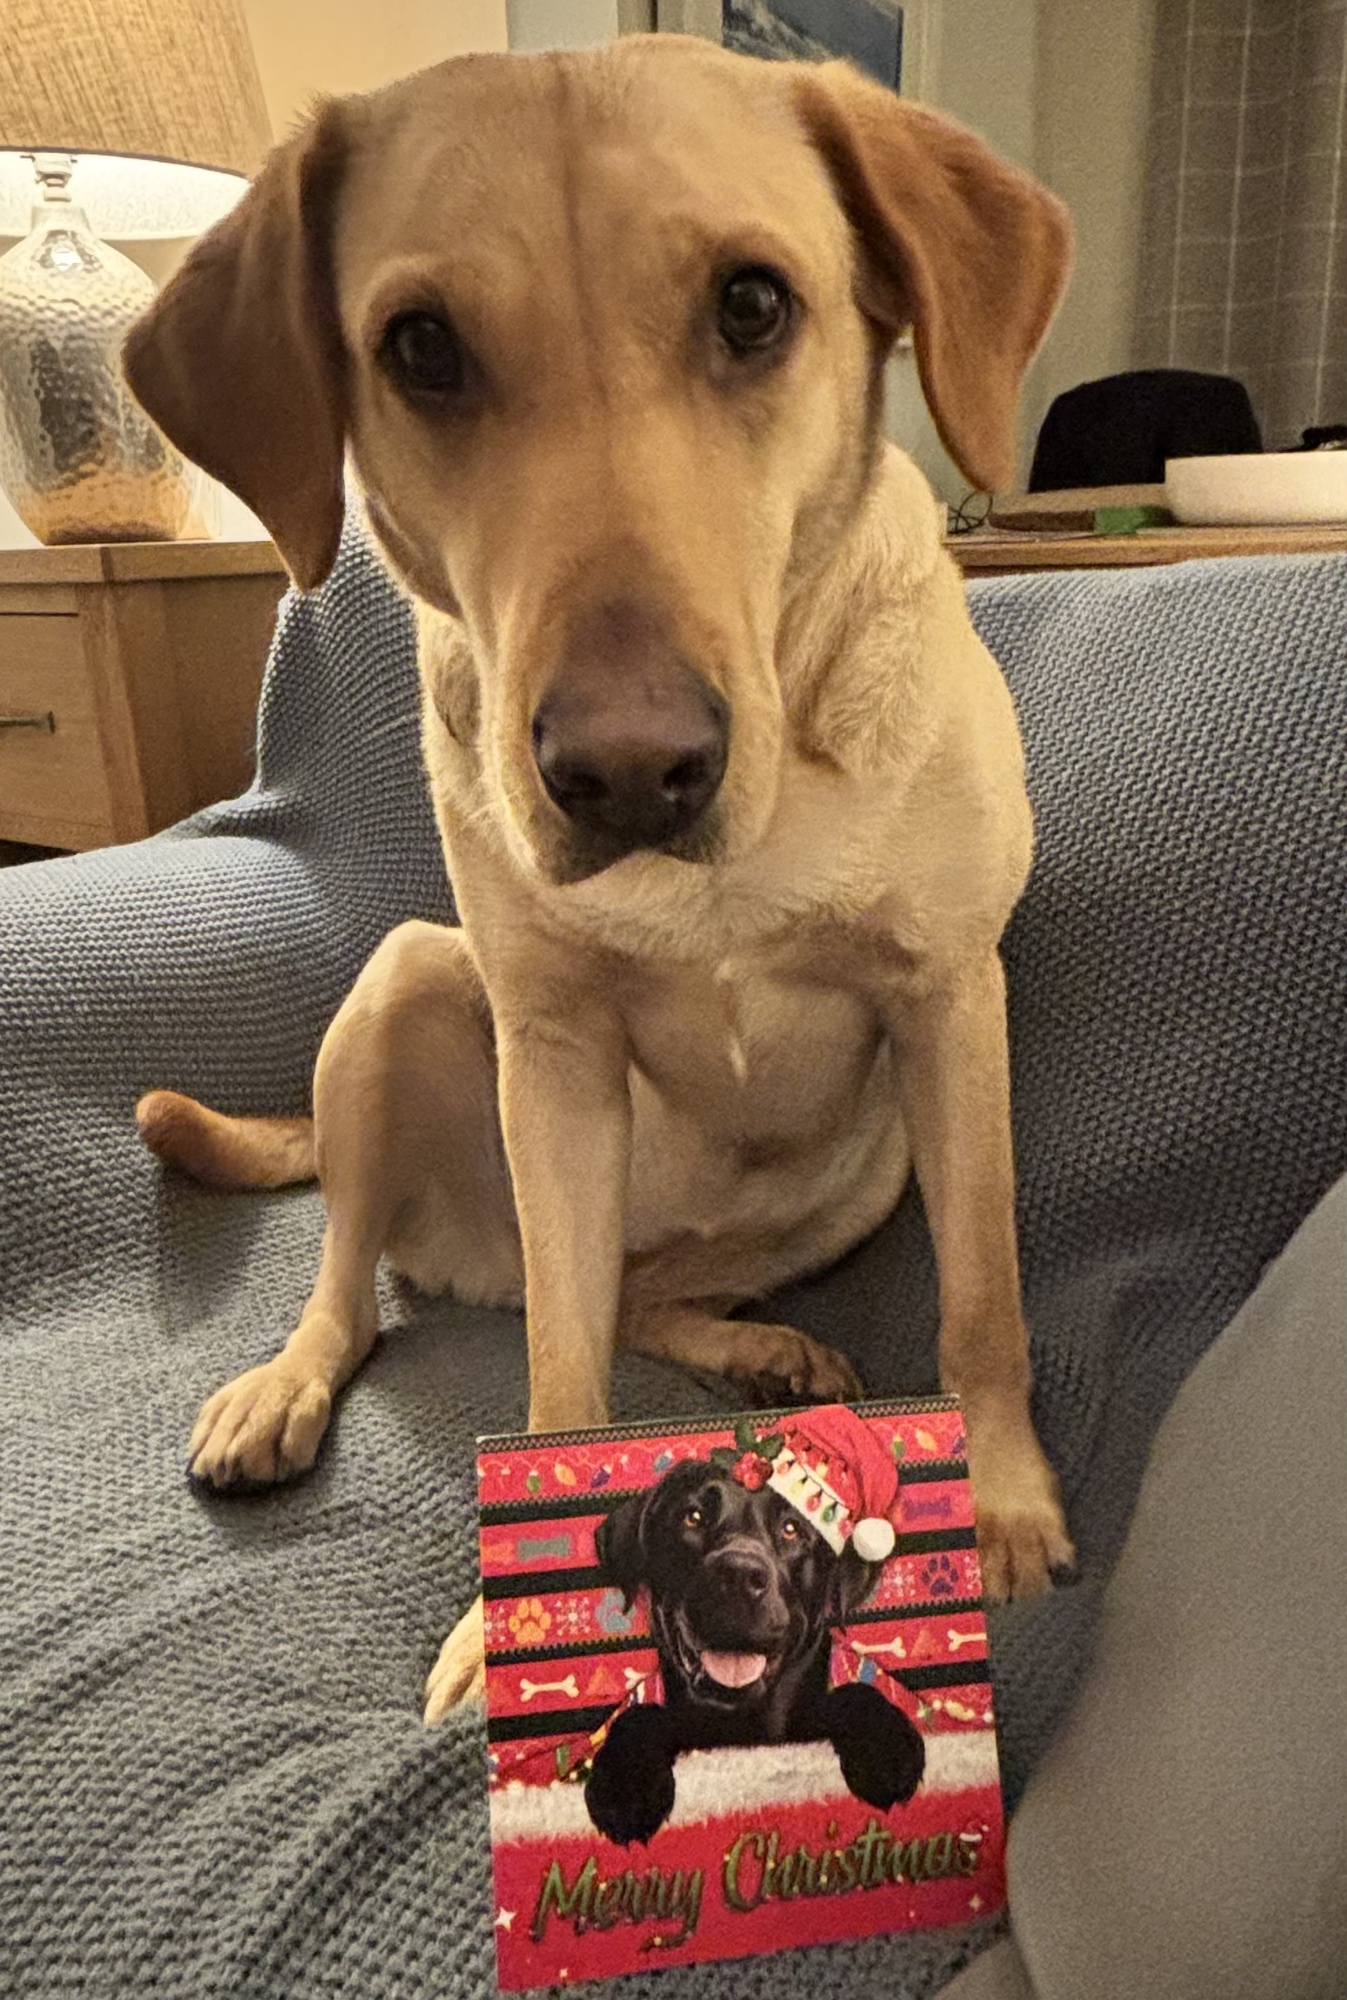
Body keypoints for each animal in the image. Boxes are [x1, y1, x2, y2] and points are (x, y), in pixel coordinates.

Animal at [122, 34, 1075, 1726]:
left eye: (753, 306)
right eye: (420, 348)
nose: (630, 769)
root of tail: (472, 1261)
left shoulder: (952, 1001)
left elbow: (981, 1302)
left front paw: (1006, 1507)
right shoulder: (554, 1057)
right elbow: (560, 1384)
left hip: (866, 1166)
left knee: (638, 1293)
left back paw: (760, 1349)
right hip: (402, 988)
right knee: (360, 1279)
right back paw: (284, 1386)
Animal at [585, 1447, 925, 1846]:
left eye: (791, 1529)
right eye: (693, 1517)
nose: (739, 1575)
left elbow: (855, 1692)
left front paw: (888, 1752)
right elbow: (640, 1715)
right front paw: (625, 1788)